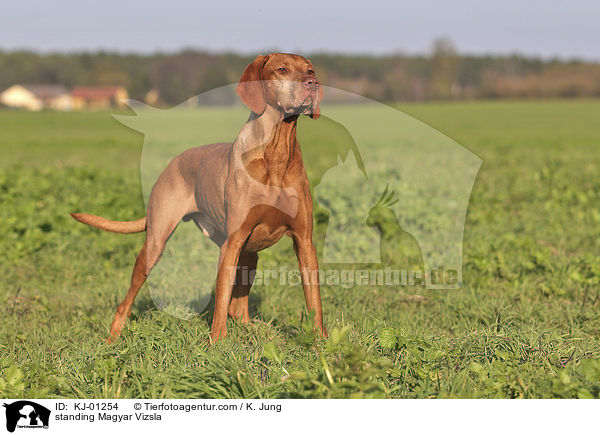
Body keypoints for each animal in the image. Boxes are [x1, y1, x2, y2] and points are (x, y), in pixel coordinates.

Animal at [73, 52, 330, 344]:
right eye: (282, 69)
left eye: (310, 70)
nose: (313, 84)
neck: (276, 152)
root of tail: (172, 163)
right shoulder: (233, 242)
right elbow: (221, 300)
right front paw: (217, 341)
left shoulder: (304, 242)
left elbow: (314, 300)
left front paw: (321, 342)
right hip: (156, 244)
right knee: (126, 301)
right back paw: (113, 338)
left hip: (249, 254)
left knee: (238, 306)